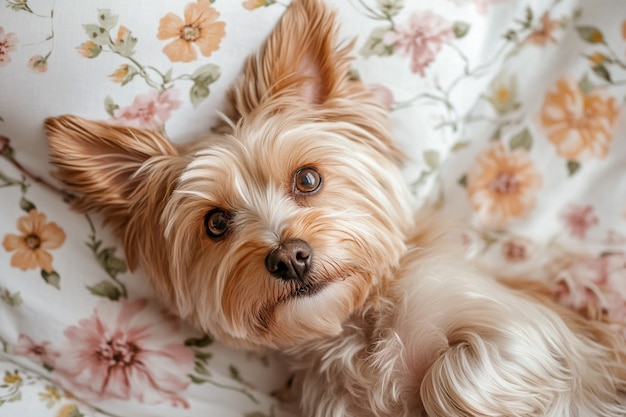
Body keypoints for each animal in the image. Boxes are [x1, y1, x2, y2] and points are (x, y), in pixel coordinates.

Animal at [44, 0, 624, 416]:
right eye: (215, 223)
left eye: (307, 179)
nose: (289, 257)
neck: (357, 329)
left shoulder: (531, 330)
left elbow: (452, 373)